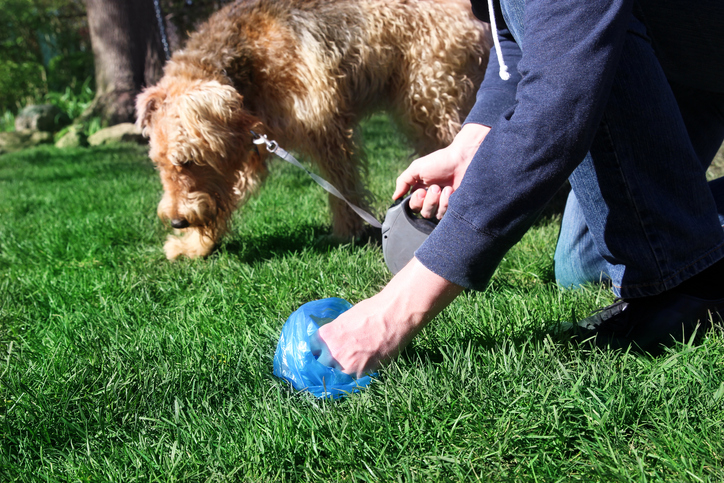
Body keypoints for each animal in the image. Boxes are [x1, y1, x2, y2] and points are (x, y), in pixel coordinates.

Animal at [136, 0, 492, 260]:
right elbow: (225, 197)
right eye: (159, 163)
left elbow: (342, 186)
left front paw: (347, 232)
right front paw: (194, 245)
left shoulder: (324, 127)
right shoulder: (249, 150)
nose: (177, 220)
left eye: (187, 160)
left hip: (430, 97)